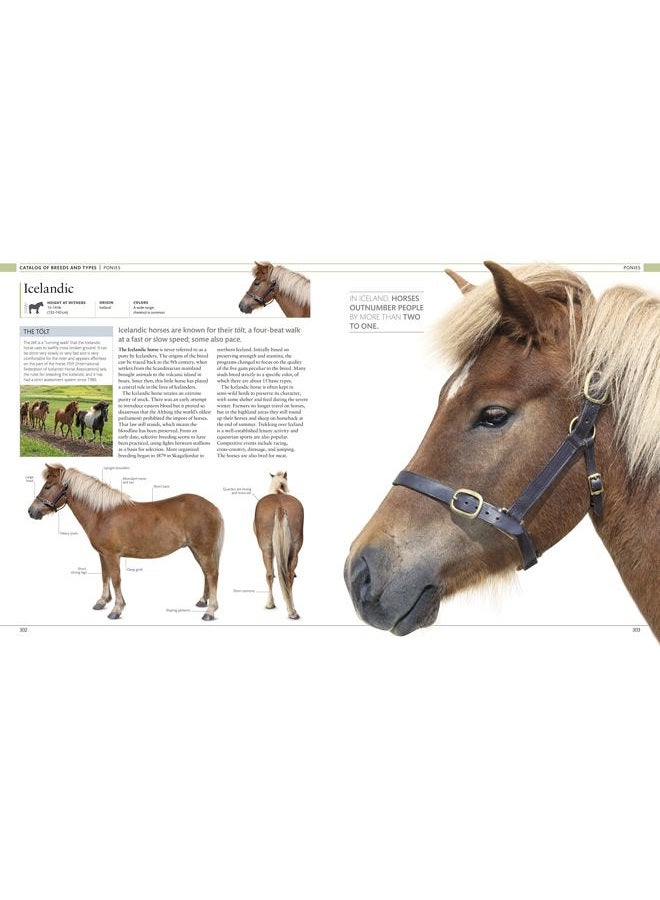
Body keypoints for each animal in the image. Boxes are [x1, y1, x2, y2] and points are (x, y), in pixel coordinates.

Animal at [28, 464, 225, 621]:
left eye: (47, 486)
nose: (31, 511)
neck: (102, 514)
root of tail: (213, 507)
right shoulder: (103, 554)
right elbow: (104, 576)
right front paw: (102, 602)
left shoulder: (112, 555)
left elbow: (116, 579)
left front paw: (116, 609)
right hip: (195, 550)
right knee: (206, 574)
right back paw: (202, 601)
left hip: (203, 550)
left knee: (212, 574)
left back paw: (210, 611)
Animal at [253, 471, 304, 619]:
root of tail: (280, 506)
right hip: (295, 549)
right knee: (288, 575)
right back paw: (292, 610)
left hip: (266, 549)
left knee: (270, 574)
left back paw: (270, 604)